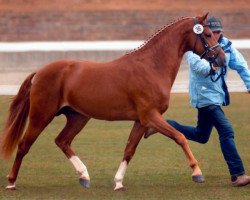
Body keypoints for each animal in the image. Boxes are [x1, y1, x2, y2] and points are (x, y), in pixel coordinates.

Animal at [0, 12, 227, 191]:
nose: (222, 59)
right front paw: (197, 173)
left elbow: (129, 150)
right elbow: (180, 137)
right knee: (24, 145)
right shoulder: (151, 116)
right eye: (207, 34)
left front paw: (118, 183)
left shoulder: (141, 121)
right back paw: (11, 182)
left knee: (62, 141)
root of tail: (40, 72)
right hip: (41, 116)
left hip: (78, 117)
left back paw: (84, 176)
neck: (151, 67)